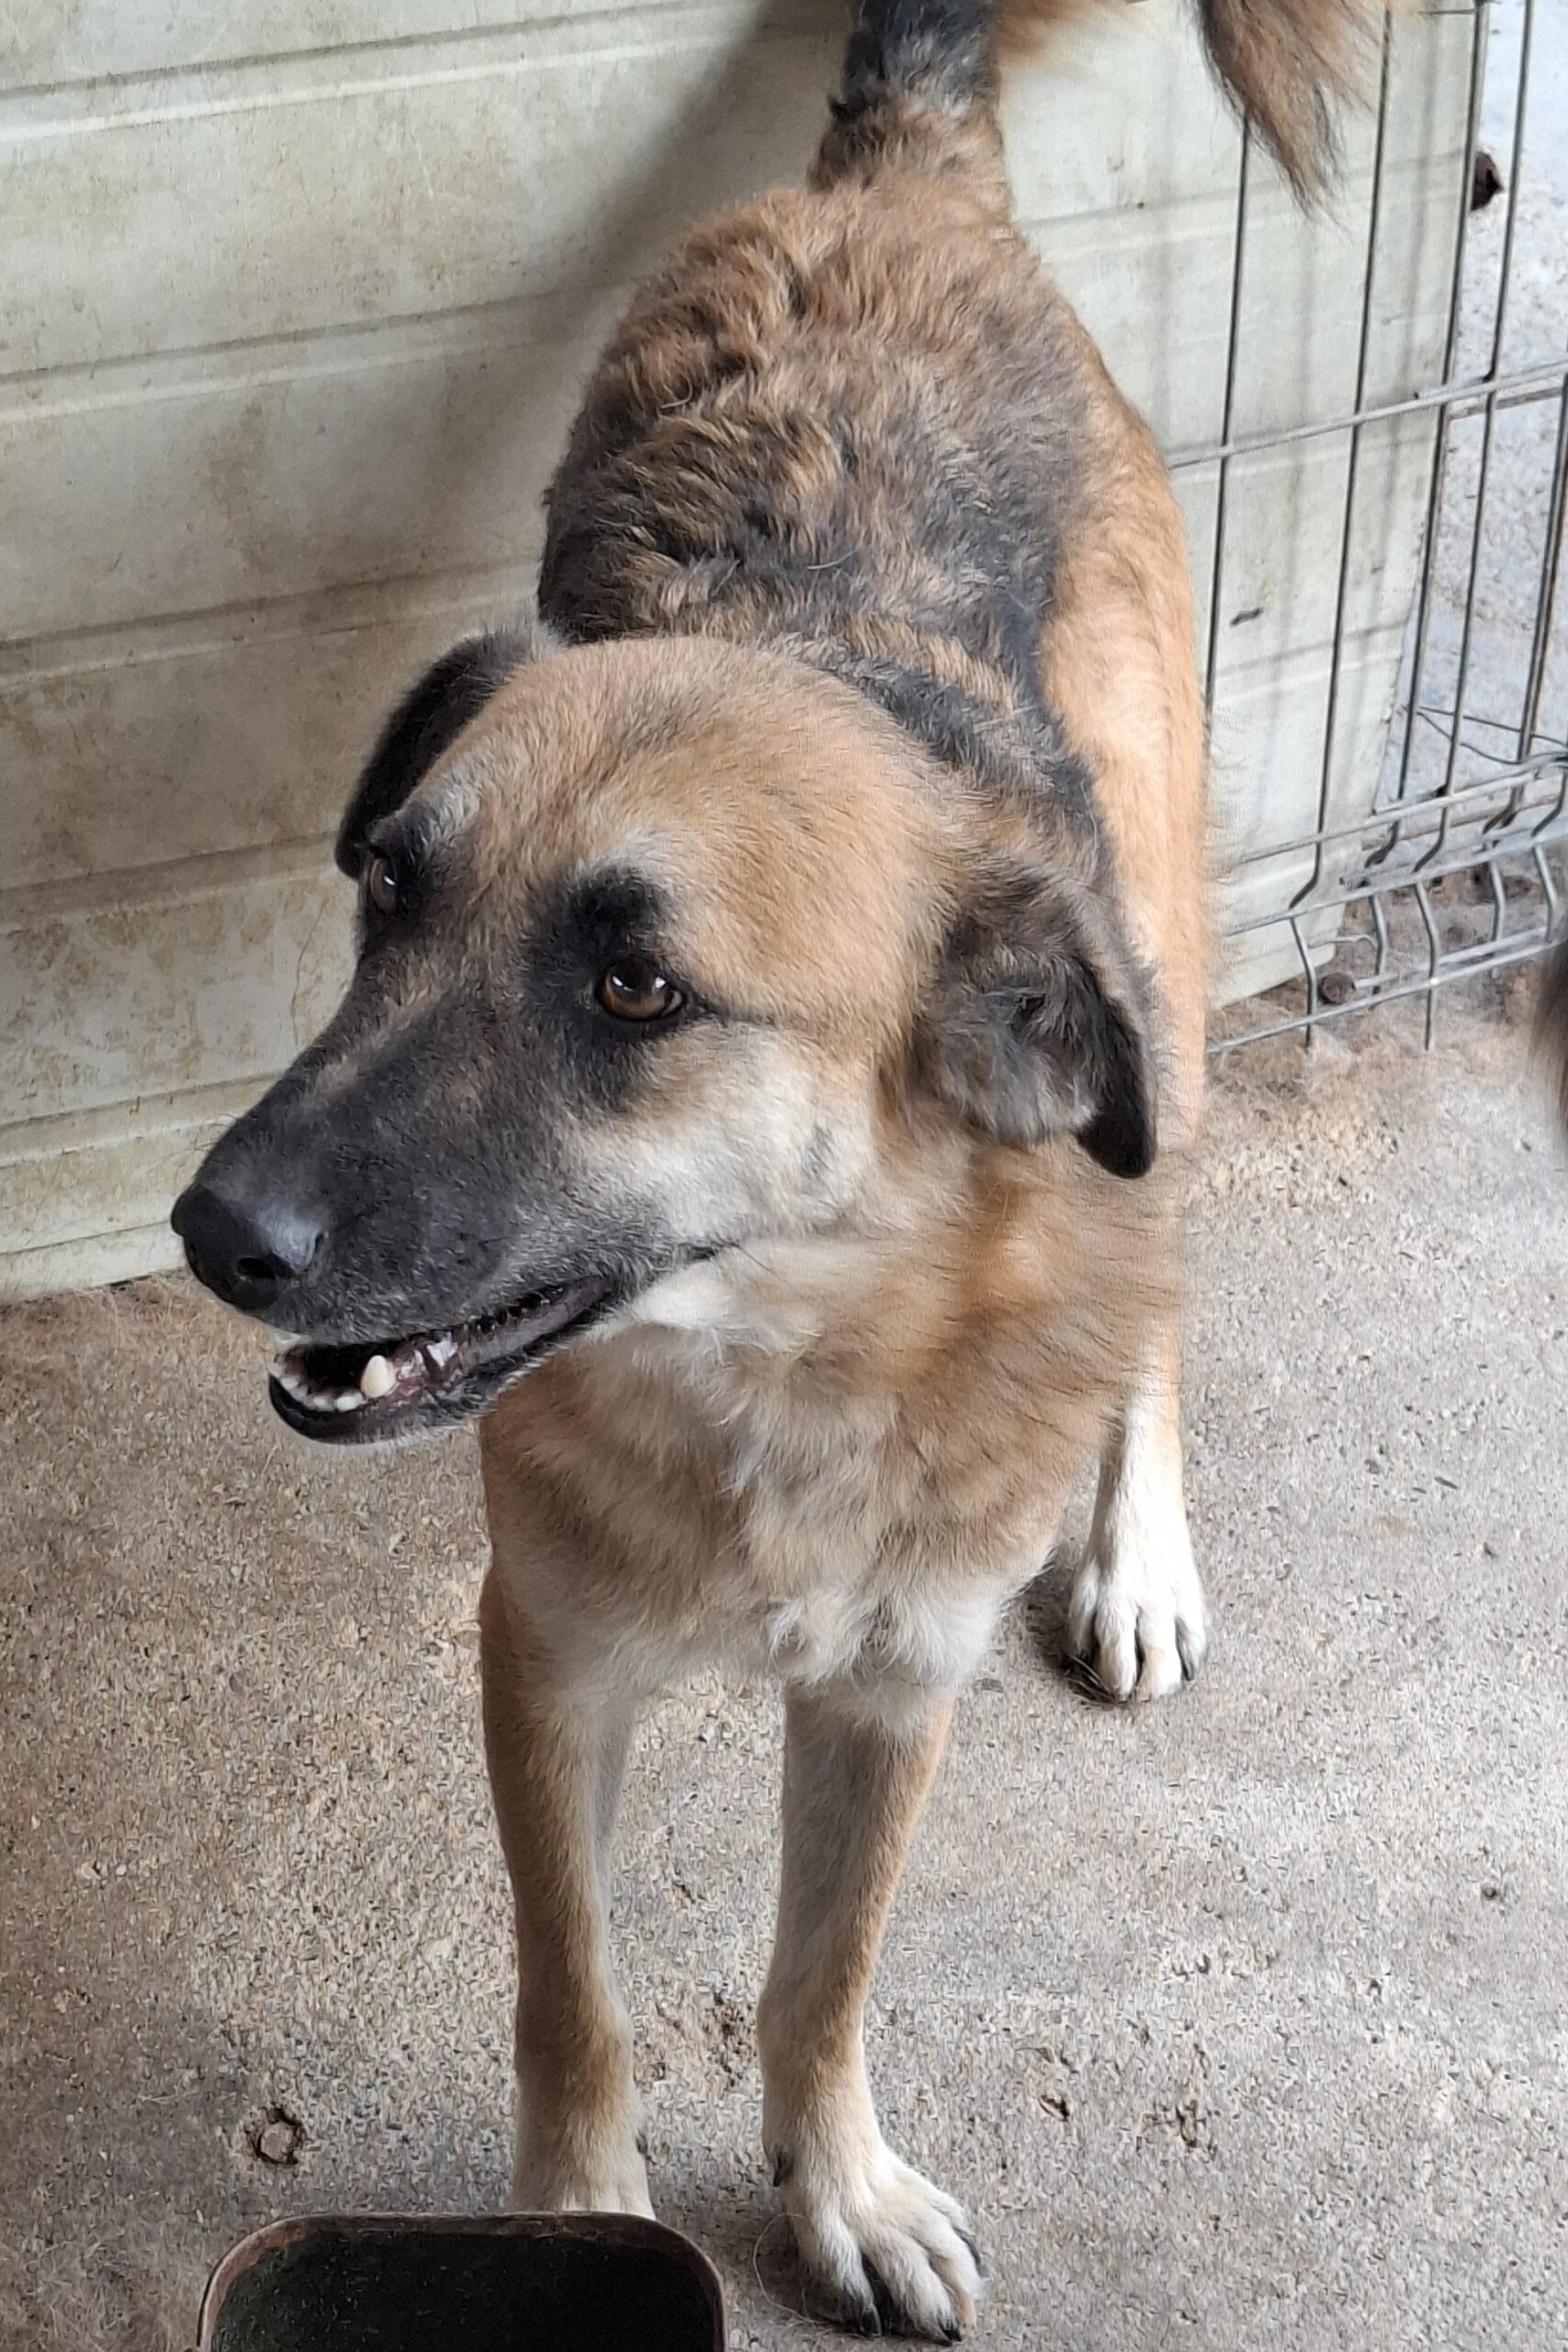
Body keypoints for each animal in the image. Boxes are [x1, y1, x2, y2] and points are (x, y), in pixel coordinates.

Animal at [173, 1, 1371, 2332]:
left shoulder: (897, 1689)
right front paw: (581, 2214)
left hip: (1164, 947)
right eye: (385, 893)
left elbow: (824, 1968)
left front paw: (836, 2179)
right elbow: (578, 1993)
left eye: (635, 985)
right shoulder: (542, 1655)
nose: (210, 1229)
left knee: (1152, 1276)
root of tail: (903, 181)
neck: (795, 1350)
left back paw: (1134, 1546)